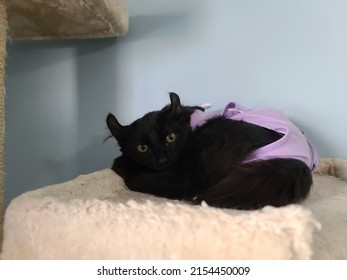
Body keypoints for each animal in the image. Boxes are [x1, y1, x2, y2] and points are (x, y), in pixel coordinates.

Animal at [106, 93, 316, 209]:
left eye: (170, 137)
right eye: (142, 148)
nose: (163, 160)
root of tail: (295, 162)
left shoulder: (182, 178)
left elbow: (138, 176)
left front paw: (122, 165)